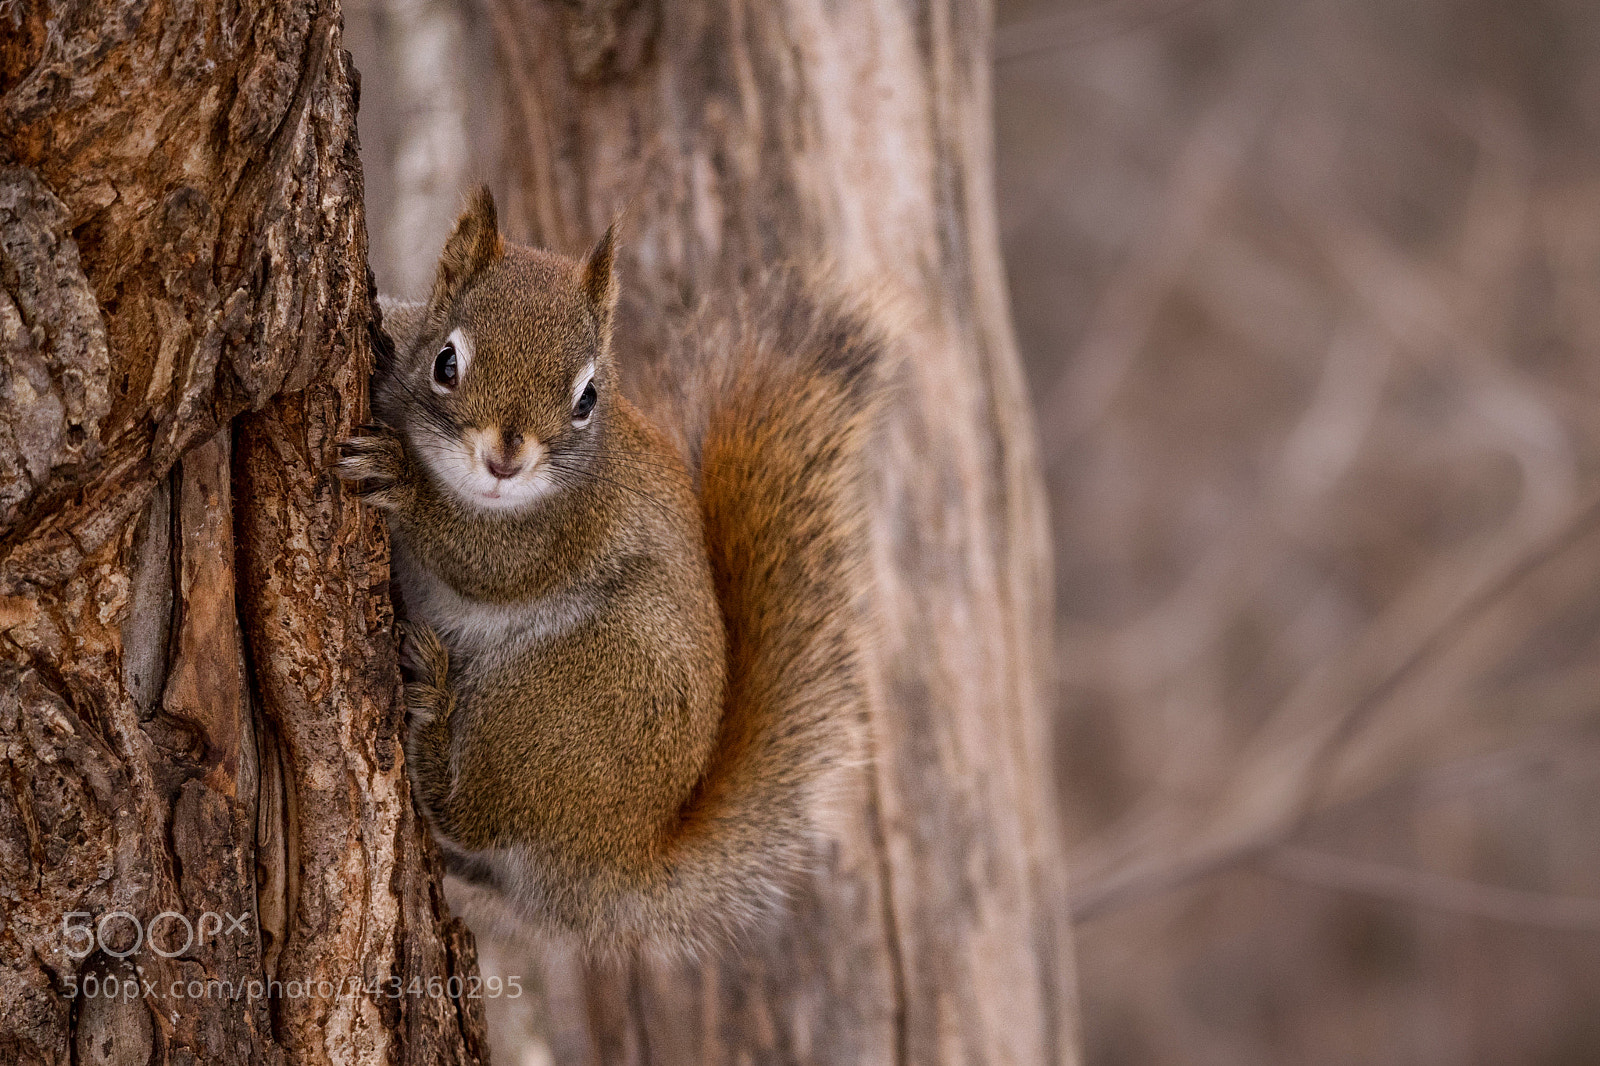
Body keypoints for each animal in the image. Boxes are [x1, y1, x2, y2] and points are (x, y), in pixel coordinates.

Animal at [334, 187, 883, 952]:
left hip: (563, 703)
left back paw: (436, 713)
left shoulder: (565, 529)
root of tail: (615, 856)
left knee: (471, 811)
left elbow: (487, 563)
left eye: (587, 398)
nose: (505, 460)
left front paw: (404, 483)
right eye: (446, 363)